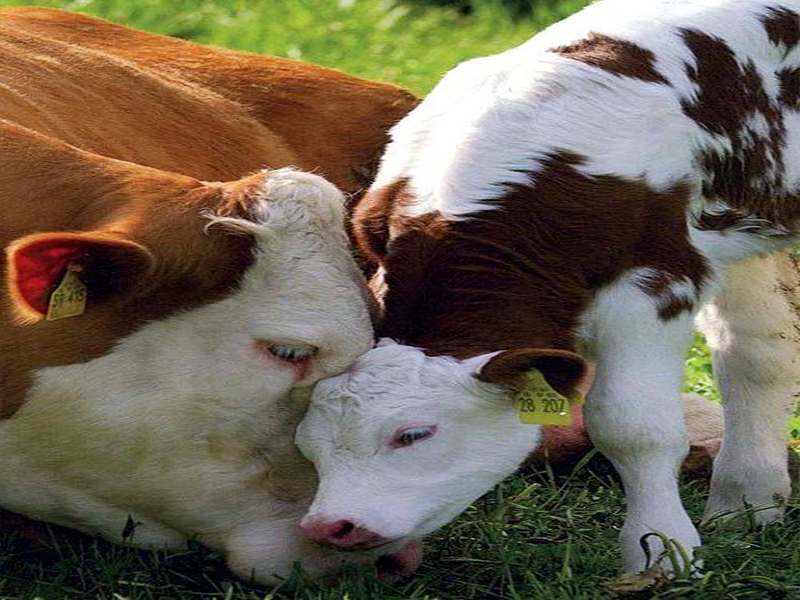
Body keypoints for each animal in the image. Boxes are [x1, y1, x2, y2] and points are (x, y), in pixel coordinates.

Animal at [295, 0, 800, 574]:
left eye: (413, 434)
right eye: (307, 446)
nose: (330, 526)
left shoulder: (655, 281)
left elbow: (633, 425)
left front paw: (661, 552)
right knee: (758, 352)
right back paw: (746, 502)